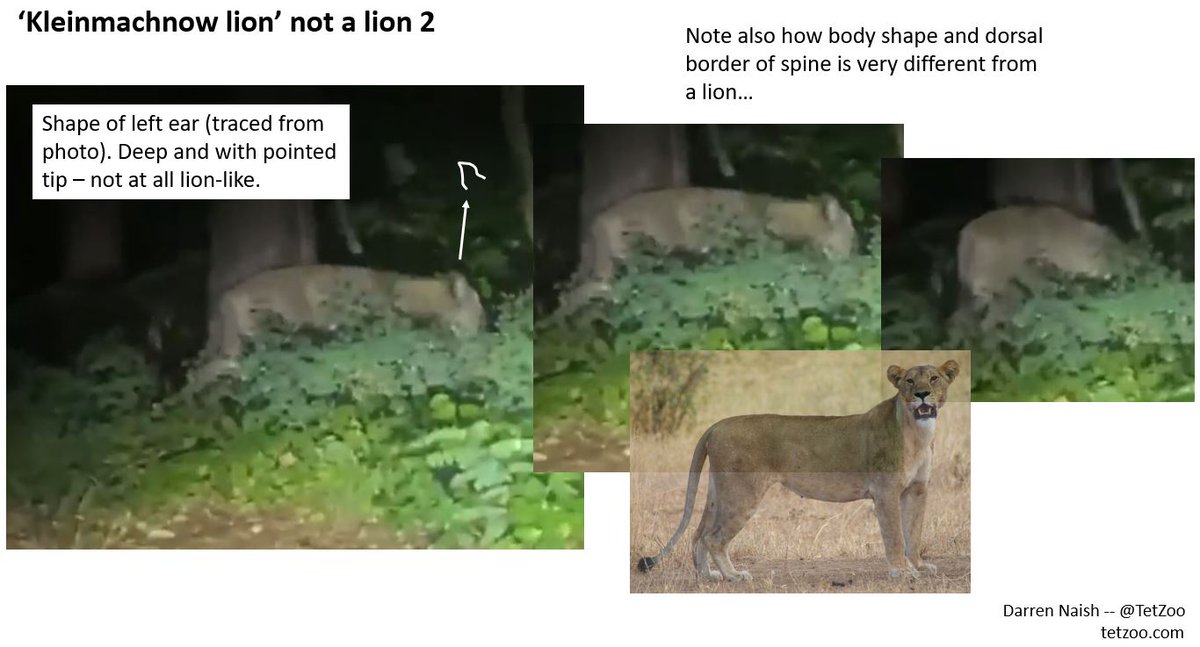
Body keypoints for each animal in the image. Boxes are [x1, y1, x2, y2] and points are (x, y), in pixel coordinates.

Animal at [636, 360, 960, 582]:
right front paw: (901, 572)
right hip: (742, 493)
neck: (918, 433)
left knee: (698, 533)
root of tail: (716, 425)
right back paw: (733, 576)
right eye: (908, 380)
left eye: (934, 378)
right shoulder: (886, 492)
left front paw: (919, 566)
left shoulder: (916, 491)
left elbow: (914, 532)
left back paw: (708, 577)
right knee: (713, 538)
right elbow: (895, 535)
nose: (922, 394)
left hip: (720, 491)